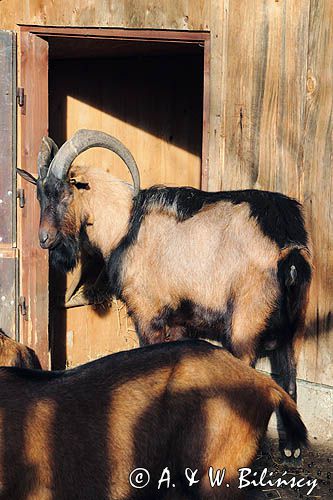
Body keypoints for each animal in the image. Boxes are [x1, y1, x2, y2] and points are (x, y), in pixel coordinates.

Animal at [16, 129, 312, 458]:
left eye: (66, 193)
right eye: (40, 194)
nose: (45, 240)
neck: (126, 225)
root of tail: (287, 247)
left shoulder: (147, 312)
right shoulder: (181, 320)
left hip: (245, 322)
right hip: (296, 322)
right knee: (289, 371)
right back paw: (292, 447)